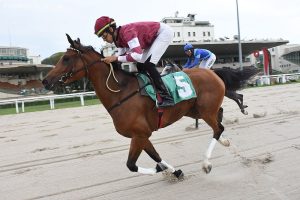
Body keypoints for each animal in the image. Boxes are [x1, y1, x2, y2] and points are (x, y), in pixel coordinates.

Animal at [42, 34, 253, 178]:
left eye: (66, 58)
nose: (45, 80)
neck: (121, 93)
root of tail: (213, 73)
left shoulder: (140, 134)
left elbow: (131, 165)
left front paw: (163, 170)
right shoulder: (141, 135)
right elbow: (155, 156)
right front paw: (173, 171)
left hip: (205, 110)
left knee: (217, 128)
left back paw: (207, 163)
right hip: (195, 110)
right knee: (219, 123)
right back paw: (225, 141)